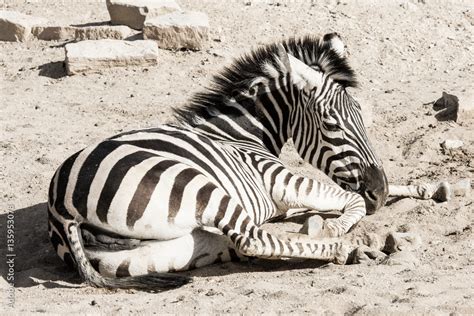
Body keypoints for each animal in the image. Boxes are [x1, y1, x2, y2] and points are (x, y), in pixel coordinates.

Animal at [47, 34, 392, 288]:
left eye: (361, 114)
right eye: (332, 124)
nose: (380, 192)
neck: (238, 134)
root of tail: (60, 208)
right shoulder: (277, 179)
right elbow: (351, 200)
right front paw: (334, 226)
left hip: (163, 251)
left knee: (237, 243)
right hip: (197, 186)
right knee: (250, 239)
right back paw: (351, 248)